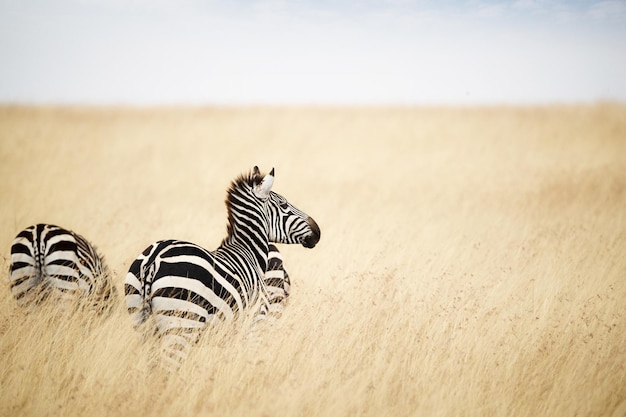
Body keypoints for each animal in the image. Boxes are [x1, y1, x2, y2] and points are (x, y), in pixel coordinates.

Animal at [124, 166, 320, 368]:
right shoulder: (254, 316)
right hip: (182, 323)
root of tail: (153, 258)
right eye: (283, 205)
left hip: (141, 321)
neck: (248, 251)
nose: (318, 231)